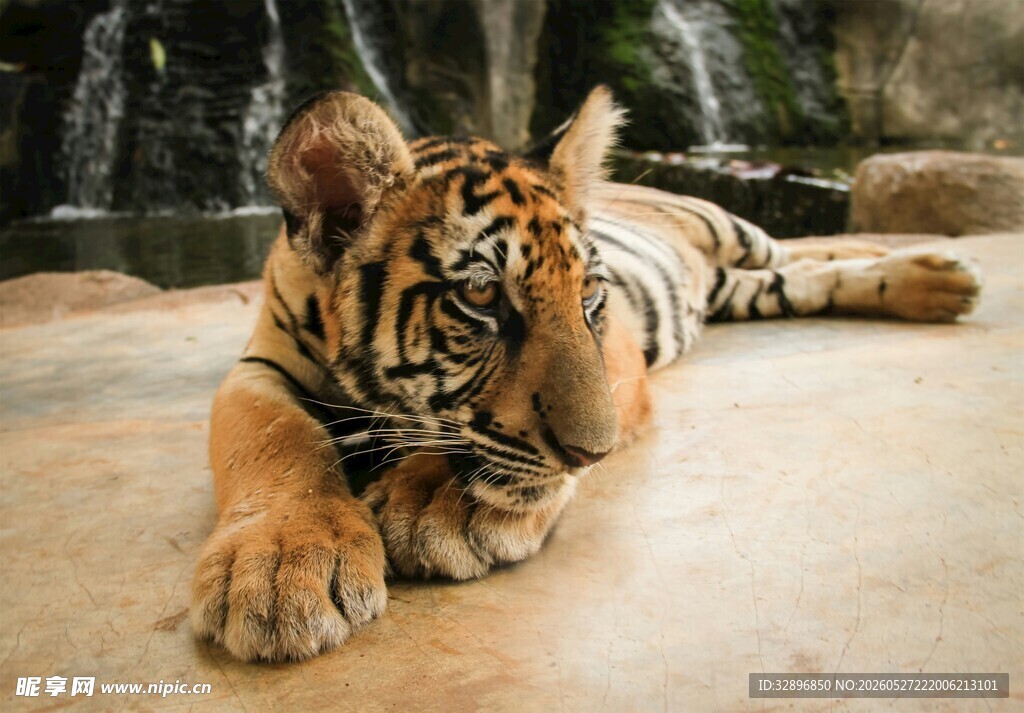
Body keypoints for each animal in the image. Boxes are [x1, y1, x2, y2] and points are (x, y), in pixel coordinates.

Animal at [190, 87, 982, 662]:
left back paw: (935, 269)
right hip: (743, 285)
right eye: (481, 296)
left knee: (800, 249)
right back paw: (934, 281)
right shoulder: (260, 365)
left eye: (591, 293)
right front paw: (282, 566)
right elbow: (275, 439)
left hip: (731, 226)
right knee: (798, 275)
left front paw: (440, 504)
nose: (589, 455)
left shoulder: (621, 355)